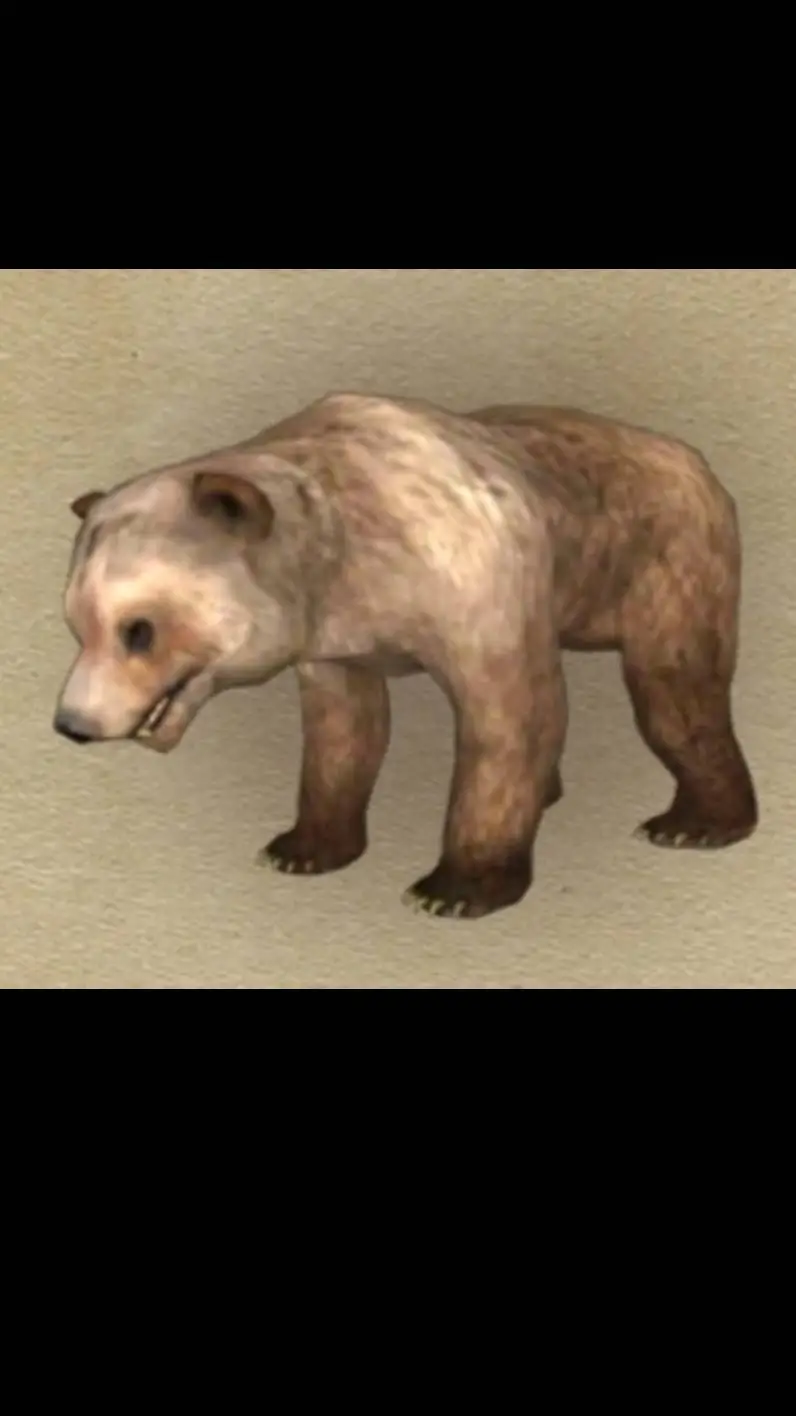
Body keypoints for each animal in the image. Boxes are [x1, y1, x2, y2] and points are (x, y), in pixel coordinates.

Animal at [54, 392, 757, 920]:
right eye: (75, 623)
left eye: (138, 629)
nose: (73, 724)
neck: (344, 556)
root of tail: (690, 454)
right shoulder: (336, 638)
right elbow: (345, 732)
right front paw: (301, 847)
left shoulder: (471, 580)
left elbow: (506, 713)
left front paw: (455, 888)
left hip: (666, 558)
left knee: (674, 687)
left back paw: (694, 823)